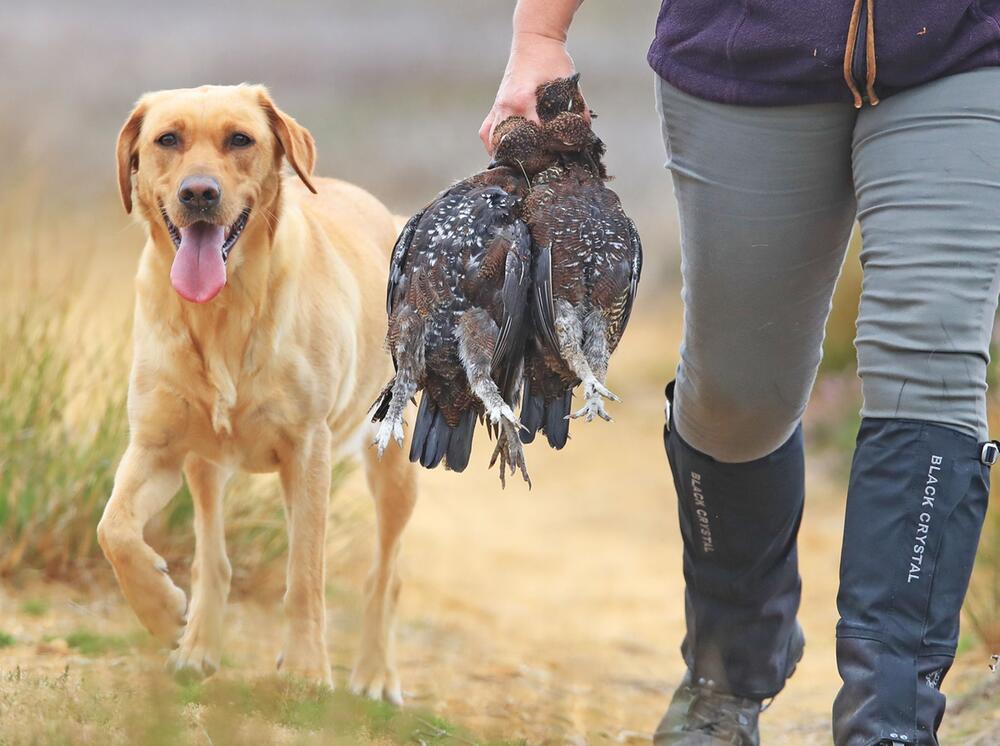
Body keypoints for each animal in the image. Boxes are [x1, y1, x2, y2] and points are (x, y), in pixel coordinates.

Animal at [96, 84, 414, 700]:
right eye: (167, 139)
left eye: (239, 139)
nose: (199, 193)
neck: (221, 313)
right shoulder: (157, 447)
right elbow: (114, 529)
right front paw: (160, 611)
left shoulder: (307, 449)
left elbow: (307, 574)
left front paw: (310, 671)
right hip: (207, 466)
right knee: (213, 559)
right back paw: (198, 646)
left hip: (392, 465)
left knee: (384, 575)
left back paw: (375, 674)